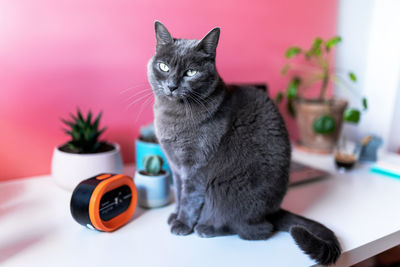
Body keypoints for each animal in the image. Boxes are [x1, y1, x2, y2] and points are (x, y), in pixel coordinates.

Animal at [147, 22, 340, 266]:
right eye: (163, 67)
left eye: (191, 72)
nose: (172, 86)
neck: (172, 115)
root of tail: (274, 210)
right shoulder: (176, 167)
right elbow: (180, 194)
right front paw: (175, 215)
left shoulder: (196, 167)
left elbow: (190, 198)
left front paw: (182, 224)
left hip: (225, 190)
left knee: (257, 230)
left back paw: (206, 228)